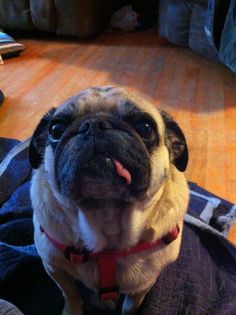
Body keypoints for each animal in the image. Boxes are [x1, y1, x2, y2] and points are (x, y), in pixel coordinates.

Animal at [29, 87, 189, 315]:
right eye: (56, 129)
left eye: (146, 127)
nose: (94, 125)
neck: (106, 215)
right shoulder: (53, 267)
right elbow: (70, 293)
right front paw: (72, 310)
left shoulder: (142, 286)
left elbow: (130, 308)